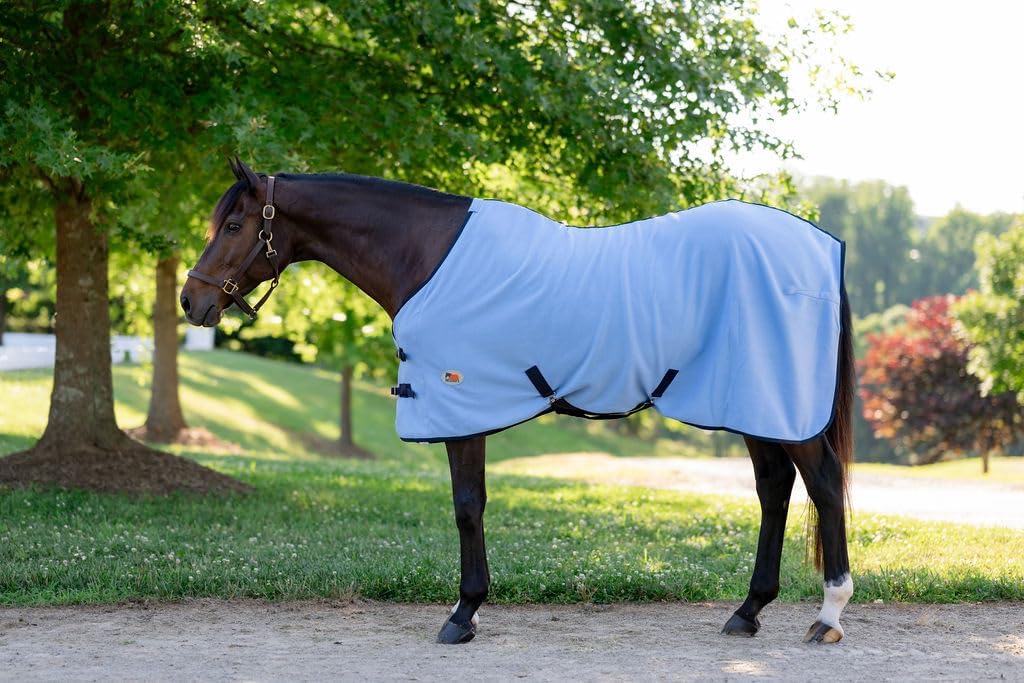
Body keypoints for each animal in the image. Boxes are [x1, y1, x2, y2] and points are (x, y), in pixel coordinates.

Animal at [180, 159, 854, 645]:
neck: (427, 257)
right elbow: (472, 506)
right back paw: (748, 610)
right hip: (753, 403)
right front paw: (471, 610)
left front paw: (463, 614)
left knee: (822, 483)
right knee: (774, 489)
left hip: (780, 408)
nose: (192, 301)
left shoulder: (463, 408)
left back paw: (828, 615)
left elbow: (466, 507)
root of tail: (822, 247)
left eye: (234, 226)